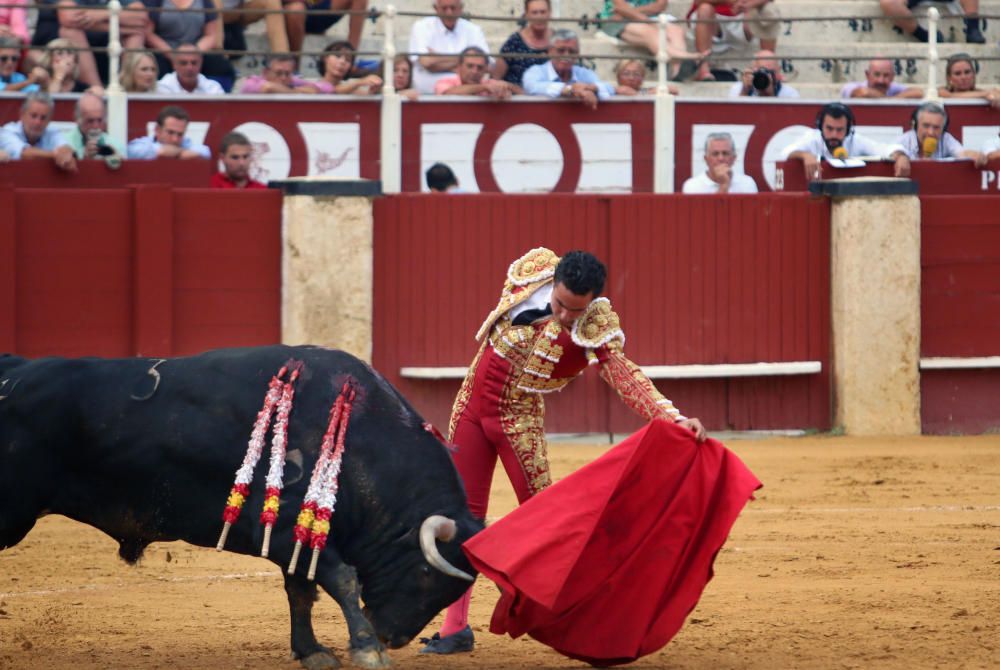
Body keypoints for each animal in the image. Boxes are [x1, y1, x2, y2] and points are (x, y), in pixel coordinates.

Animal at [0, 346, 484, 670]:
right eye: (426, 575)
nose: (391, 636)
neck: (361, 442)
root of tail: (14, 368)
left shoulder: (295, 540)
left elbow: (301, 591)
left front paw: (311, 651)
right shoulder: (288, 529)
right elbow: (342, 580)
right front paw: (366, 650)